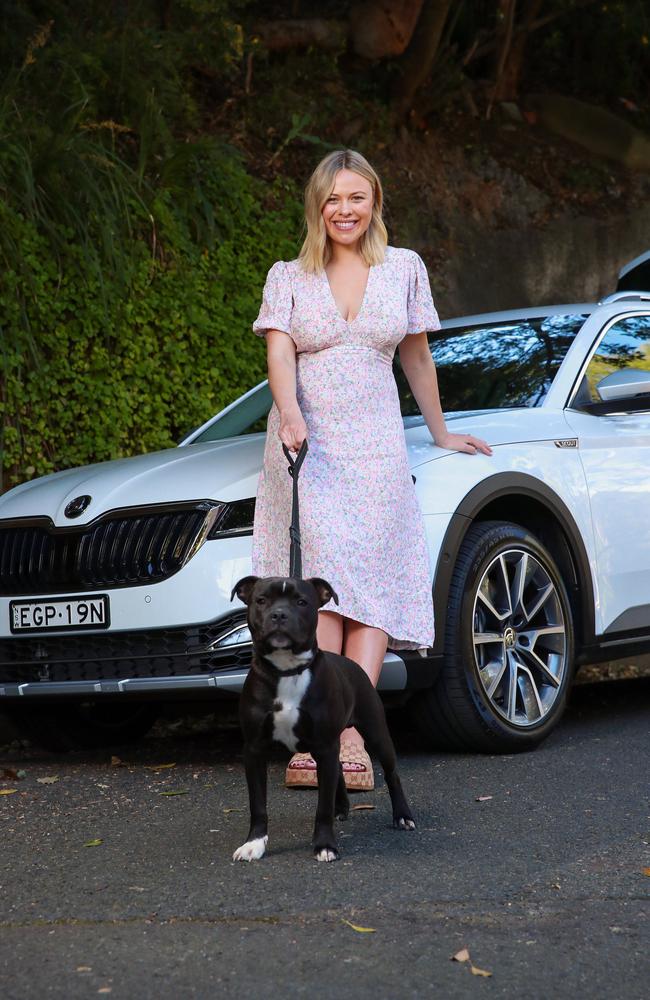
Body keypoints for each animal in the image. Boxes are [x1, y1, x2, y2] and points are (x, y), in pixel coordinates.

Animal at [229, 576, 416, 864]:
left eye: (301, 602)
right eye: (261, 600)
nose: (279, 614)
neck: (287, 670)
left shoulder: (325, 745)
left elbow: (322, 807)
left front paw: (325, 845)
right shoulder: (255, 750)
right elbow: (258, 804)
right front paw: (254, 844)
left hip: (376, 732)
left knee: (392, 774)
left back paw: (403, 816)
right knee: (339, 767)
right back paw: (342, 806)